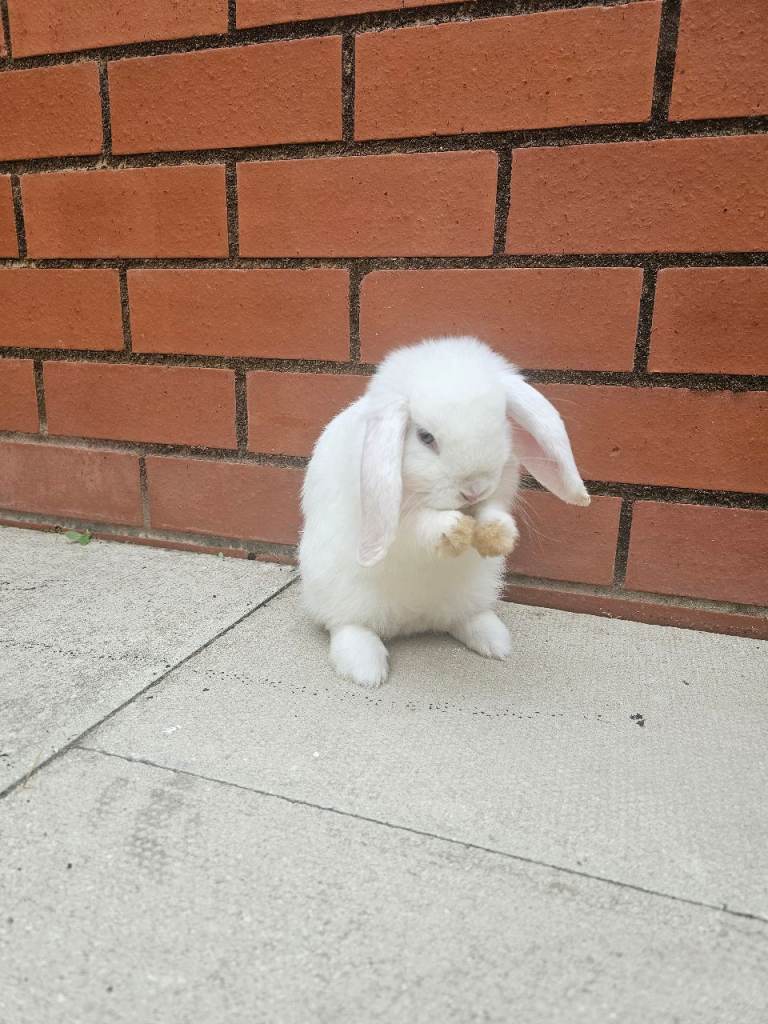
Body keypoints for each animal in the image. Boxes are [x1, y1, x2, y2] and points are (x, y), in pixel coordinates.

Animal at [298, 336, 590, 688]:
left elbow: (494, 509)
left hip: (473, 590)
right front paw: (451, 529)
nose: (474, 488)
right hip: (339, 591)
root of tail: (412, 621)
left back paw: (495, 642)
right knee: (347, 625)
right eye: (426, 437)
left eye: (500, 423)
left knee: (462, 617)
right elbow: (418, 526)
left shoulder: (499, 490)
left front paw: (497, 533)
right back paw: (366, 669)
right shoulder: (396, 520)